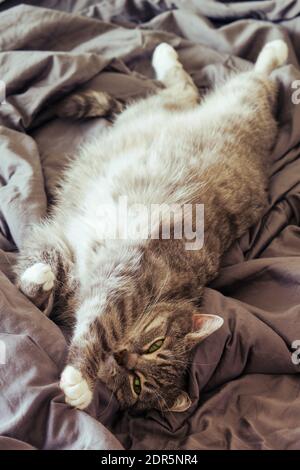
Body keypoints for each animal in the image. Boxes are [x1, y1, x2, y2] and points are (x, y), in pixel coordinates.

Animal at [14, 41, 288, 414]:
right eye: (155, 344)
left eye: (137, 383)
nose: (124, 358)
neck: (172, 293)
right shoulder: (120, 277)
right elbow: (95, 326)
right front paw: (80, 376)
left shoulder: (78, 266)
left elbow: (41, 301)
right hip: (240, 103)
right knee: (244, 80)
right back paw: (267, 51)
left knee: (184, 88)